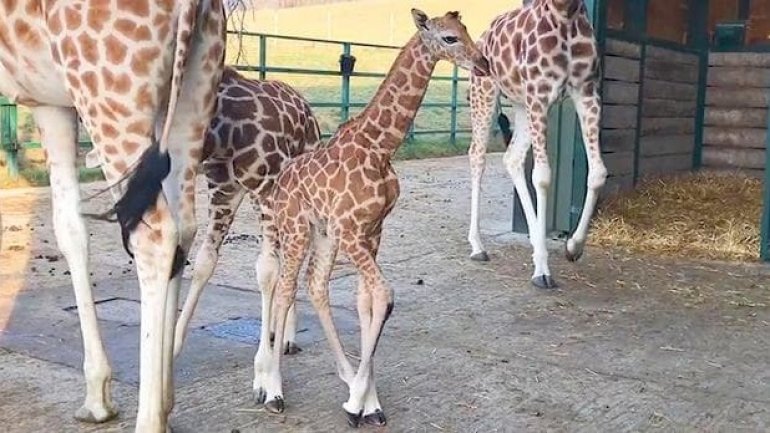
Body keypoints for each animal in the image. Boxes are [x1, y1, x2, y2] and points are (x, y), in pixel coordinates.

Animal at [0, 1, 226, 430]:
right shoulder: (51, 101)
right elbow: (70, 229)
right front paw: (96, 395)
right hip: (195, 86)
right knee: (184, 225)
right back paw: (166, 404)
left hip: (110, 92)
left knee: (155, 234)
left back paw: (150, 420)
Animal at [252, 8, 492, 426]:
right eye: (448, 38)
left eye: (465, 30)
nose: (483, 63)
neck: (380, 146)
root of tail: (280, 181)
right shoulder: (353, 232)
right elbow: (384, 294)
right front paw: (356, 404)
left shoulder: (372, 231)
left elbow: (366, 300)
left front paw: (368, 402)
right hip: (297, 228)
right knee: (284, 289)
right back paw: (274, 392)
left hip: (323, 233)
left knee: (315, 285)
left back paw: (342, 376)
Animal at [462, 0, 608, 286]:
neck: (566, 14)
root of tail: (483, 37)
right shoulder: (540, 93)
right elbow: (542, 177)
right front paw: (542, 269)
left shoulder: (586, 90)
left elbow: (598, 173)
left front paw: (573, 246)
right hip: (485, 91)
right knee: (477, 156)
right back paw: (478, 246)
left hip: (521, 104)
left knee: (512, 158)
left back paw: (534, 239)